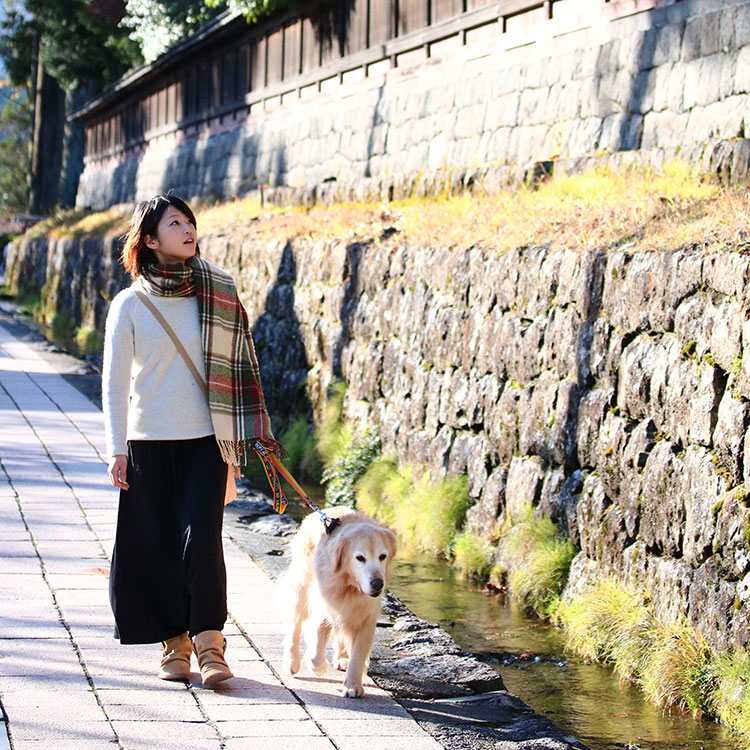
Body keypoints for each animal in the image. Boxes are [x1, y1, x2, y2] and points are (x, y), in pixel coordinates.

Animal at [280, 506, 400, 700]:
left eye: (383, 556)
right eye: (360, 558)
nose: (377, 584)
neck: (349, 587)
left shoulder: (366, 618)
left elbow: (358, 655)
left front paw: (353, 685)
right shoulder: (324, 608)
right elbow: (315, 653)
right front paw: (318, 668)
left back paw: (342, 659)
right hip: (301, 589)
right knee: (295, 626)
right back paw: (292, 662)